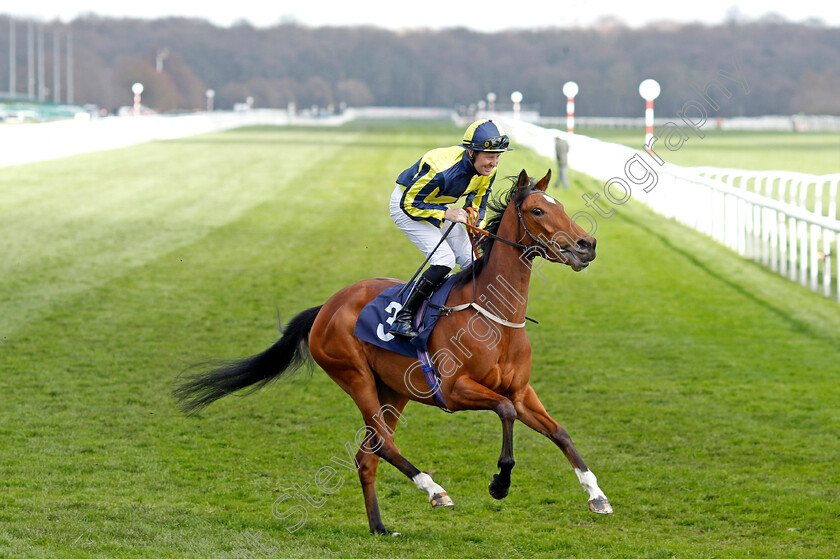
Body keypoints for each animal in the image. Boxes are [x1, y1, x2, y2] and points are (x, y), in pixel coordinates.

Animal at [174, 168, 612, 536]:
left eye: (561, 207)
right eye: (537, 210)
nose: (586, 246)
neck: (495, 318)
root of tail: (327, 306)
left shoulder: (521, 391)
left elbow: (559, 432)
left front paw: (597, 496)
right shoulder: (455, 390)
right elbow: (504, 412)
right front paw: (500, 482)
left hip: (395, 390)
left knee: (368, 454)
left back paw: (379, 527)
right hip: (355, 377)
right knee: (383, 444)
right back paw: (434, 490)